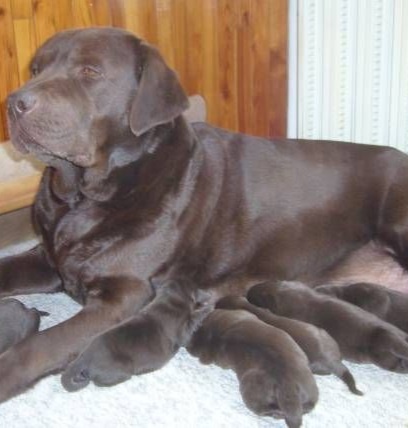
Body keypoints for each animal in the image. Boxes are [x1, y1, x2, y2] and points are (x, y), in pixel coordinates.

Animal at [61, 280, 214, 392]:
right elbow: (194, 320)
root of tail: (84, 357)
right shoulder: (183, 331)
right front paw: (208, 306)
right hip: (122, 370)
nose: (204, 293)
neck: (169, 300)